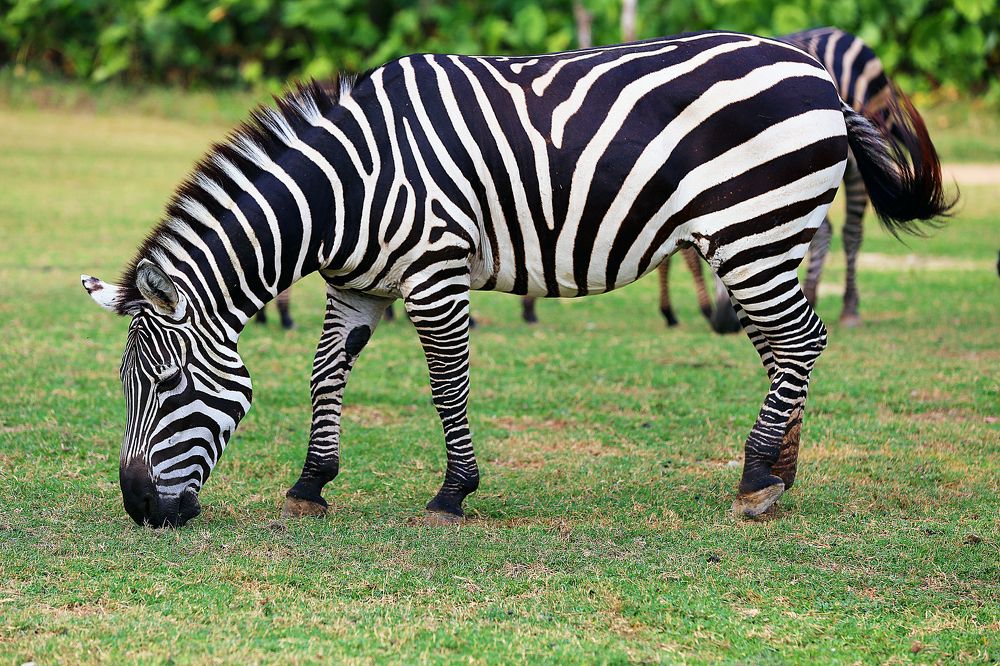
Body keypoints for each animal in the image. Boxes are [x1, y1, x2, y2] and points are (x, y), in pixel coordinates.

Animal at [81, 31, 952, 527]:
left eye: (169, 386)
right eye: (125, 387)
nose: (138, 510)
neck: (345, 188)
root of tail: (819, 74)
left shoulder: (434, 273)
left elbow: (446, 384)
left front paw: (453, 492)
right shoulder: (358, 284)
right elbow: (324, 372)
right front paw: (310, 484)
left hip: (756, 228)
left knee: (800, 341)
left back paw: (752, 479)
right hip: (766, 235)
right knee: (783, 348)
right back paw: (780, 473)